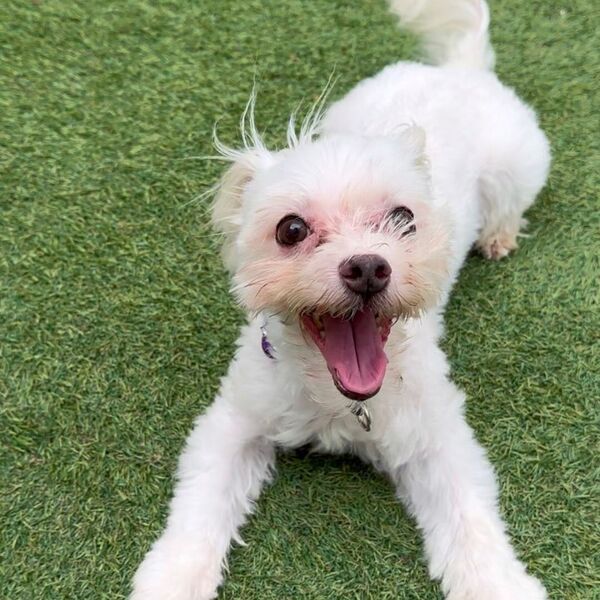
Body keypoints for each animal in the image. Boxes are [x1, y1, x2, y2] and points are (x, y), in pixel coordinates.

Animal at [131, 1, 550, 598]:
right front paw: (171, 579)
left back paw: (498, 236)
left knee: (509, 207)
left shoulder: (440, 434)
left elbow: (471, 519)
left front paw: (500, 583)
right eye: (291, 229)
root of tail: (460, 69)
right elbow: (197, 509)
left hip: (516, 170)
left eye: (403, 218)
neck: (340, 401)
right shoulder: (232, 421)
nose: (368, 267)